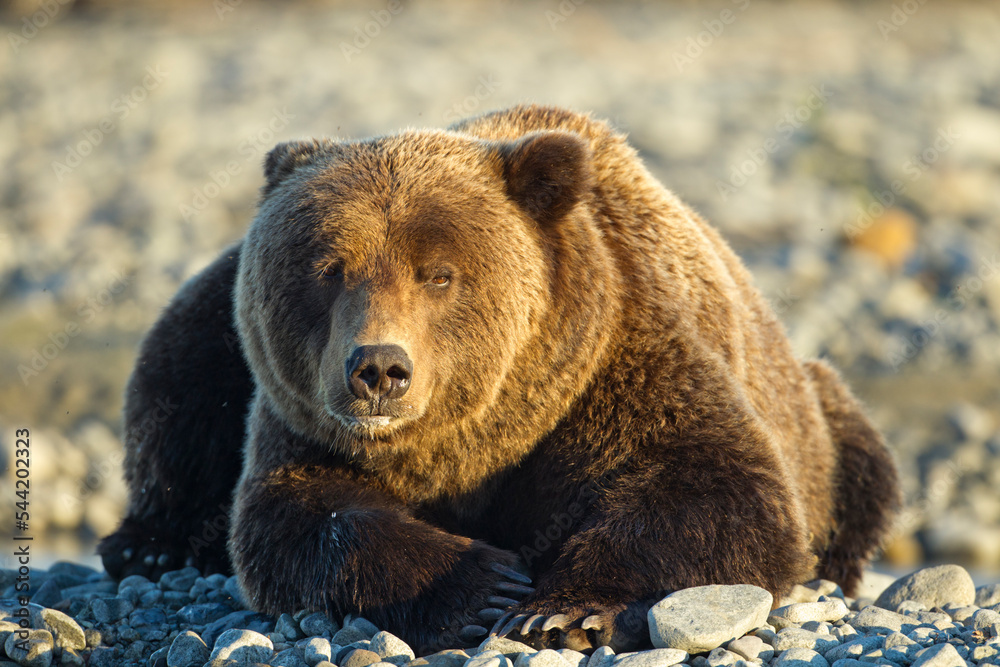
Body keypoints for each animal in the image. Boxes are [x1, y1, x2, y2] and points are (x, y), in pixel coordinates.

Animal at [98, 104, 900, 654]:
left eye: (439, 273)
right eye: (329, 267)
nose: (379, 368)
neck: (478, 436)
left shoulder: (620, 363)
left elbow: (721, 491)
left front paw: (561, 606)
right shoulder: (303, 420)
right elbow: (296, 516)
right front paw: (484, 587)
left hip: (819, 410)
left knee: (861, 460)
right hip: (214, 307)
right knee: (176, 377)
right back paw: (149, 543)